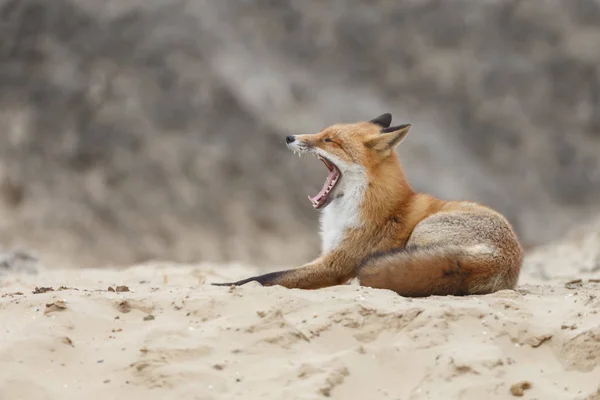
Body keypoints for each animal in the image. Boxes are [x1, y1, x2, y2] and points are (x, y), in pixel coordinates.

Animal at [213, 113, 524, 296]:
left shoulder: (334, 264)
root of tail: (505, 260)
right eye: (323, 133)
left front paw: (220, 285)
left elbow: (263, 277)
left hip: (423, 231)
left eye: (329, 140)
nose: (290, 137)